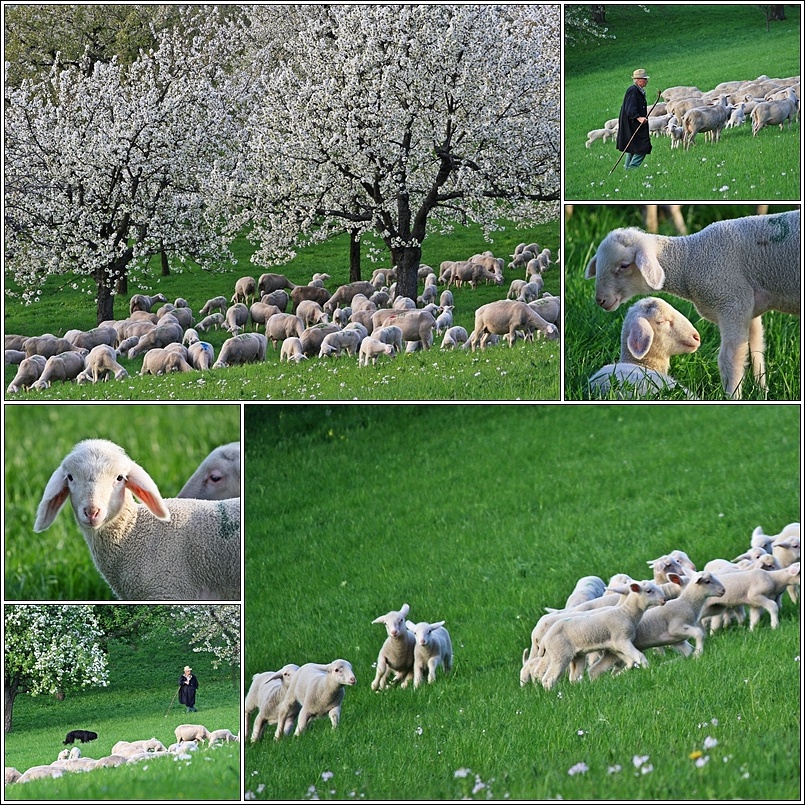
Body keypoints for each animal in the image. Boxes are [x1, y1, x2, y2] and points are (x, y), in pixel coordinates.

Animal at [532, 576, 664, 692]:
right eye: (649, 591)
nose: (663, 600)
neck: (625, 613)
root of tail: (544, 639)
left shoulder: (615, 646)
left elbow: (629, 661)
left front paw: (619, 674)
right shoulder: (622, 640)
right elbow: (639, 656)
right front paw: (648, 669)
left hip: (576, 655)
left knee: (574, 677)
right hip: (560, 654)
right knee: (548, 678)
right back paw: (553, 694)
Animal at [584, 207, 796, 396]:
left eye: (624, 265)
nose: (600, 300)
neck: (689, 260)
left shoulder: (732, 303)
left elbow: (730, 361)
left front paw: (732, 396)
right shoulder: (749, 307)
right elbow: (757, 351)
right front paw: (762, 391)